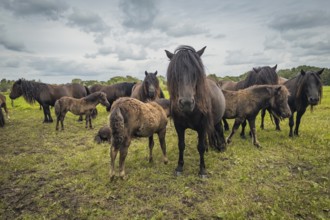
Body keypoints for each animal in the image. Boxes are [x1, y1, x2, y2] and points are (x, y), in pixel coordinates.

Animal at [165, 45, 227, 178]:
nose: (186, 103)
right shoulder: (179, 126)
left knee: (219, 129)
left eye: (196, 74)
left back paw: (222, 147)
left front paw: (202, 170)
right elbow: (181, 145)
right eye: (175, 74)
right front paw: (179, 167)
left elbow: (201, 147)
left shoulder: (202, 127)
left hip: (217, 120)